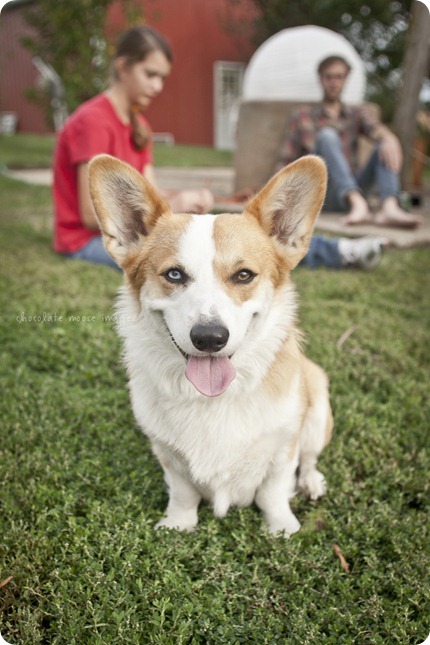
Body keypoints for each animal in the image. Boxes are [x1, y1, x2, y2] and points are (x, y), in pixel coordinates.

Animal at [90, 153, 332, 536]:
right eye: (174, 274)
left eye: (244, 275)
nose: (209, 338)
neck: (211, 399)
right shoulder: (167, 454)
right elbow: (182, 491)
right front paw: (178, 524)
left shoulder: (284, 446)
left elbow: (274, 490)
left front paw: (281, 527)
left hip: (318, 405)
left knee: (309, 459)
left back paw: (311, 483)